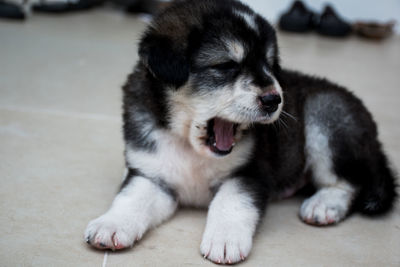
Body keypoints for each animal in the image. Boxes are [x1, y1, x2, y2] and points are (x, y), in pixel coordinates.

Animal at [85, 0, 396, 264]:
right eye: (226, 65)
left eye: (269, 65)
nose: (274, 100)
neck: (190, 148)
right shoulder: (152, 175)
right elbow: (131, 198)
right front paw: (110, 225)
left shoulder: (249, 172)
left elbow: (231, 202)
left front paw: (225, 241)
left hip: (326, 114)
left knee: (349, 183)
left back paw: (323, 205)